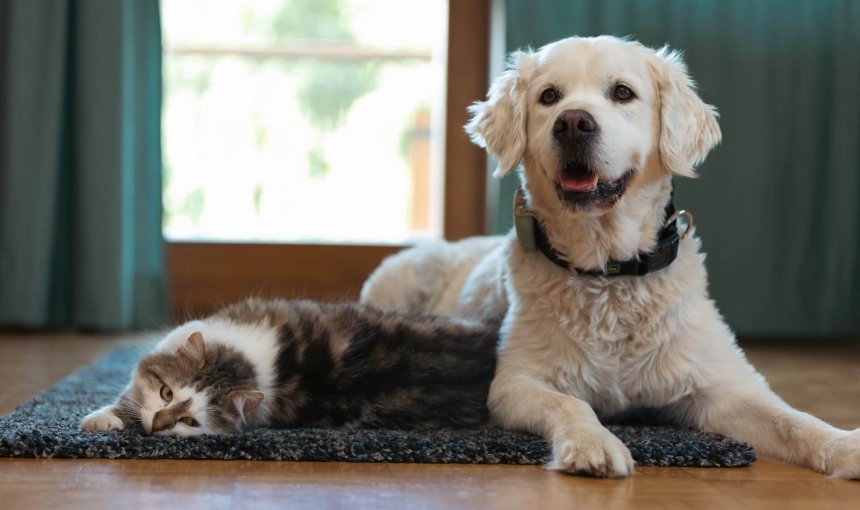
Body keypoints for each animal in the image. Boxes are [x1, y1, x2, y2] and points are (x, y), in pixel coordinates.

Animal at [362, 36, 860, 478]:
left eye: (623, 92)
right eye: (549, 96)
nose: (572, 123)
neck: (609, 272)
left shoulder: (722, 386)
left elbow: (795, 421)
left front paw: (844, 446)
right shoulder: (516, 383)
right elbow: (572, 404)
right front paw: (593, 444)